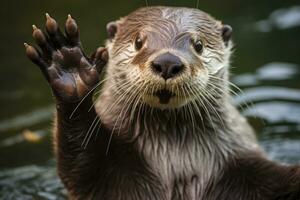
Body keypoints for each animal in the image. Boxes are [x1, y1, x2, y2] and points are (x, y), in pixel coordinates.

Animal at [25, 5, 300, 198]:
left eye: (198, 44)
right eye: (138, 41)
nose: (168, 61)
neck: (177, 162)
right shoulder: (102, 177)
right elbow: (78, 167)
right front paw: (70, 66)